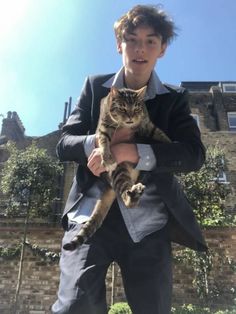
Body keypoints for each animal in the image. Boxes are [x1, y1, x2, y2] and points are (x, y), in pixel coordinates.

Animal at [62, 85, 171, 250]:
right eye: (122, 108)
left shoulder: (146, 123)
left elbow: (159, 132)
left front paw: (171, 142)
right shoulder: (104, 126)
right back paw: (133, 194)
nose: (131, 117)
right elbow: (103, 140)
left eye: (136, 108)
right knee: (127, 197)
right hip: (119, 171)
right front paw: (107, 157)